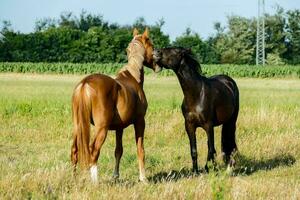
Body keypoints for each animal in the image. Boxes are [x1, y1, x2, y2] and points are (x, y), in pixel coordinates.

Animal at [71, 28, 159, 183]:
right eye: (152, 45)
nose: (158, 64)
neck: (133, 77)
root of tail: (85, 84)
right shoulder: (140, 122)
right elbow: (140, 150)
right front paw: (143, 178)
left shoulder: (119, 127)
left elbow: (118, 151)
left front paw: (116, 176)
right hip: (102, 129)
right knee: (93, 150)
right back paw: (95, 182)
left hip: (78, 125)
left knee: (74, 150)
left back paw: (73, 180)